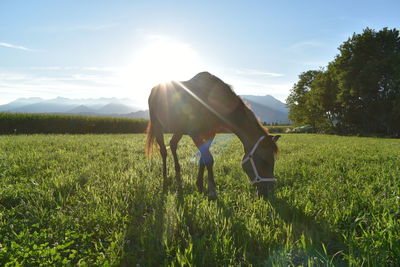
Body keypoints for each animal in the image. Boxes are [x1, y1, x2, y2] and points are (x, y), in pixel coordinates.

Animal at [145, 72, 280, 198]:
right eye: (265, 162)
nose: (269, 192)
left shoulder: (210, 134)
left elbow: (203, 159)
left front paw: (199, 185)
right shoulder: (195, 134)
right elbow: (208, 159)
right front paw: (212, 190)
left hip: (179, 129)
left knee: (173, 144)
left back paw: (178, 174)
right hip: (158, 127)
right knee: (163, 151)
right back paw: (165, 179)